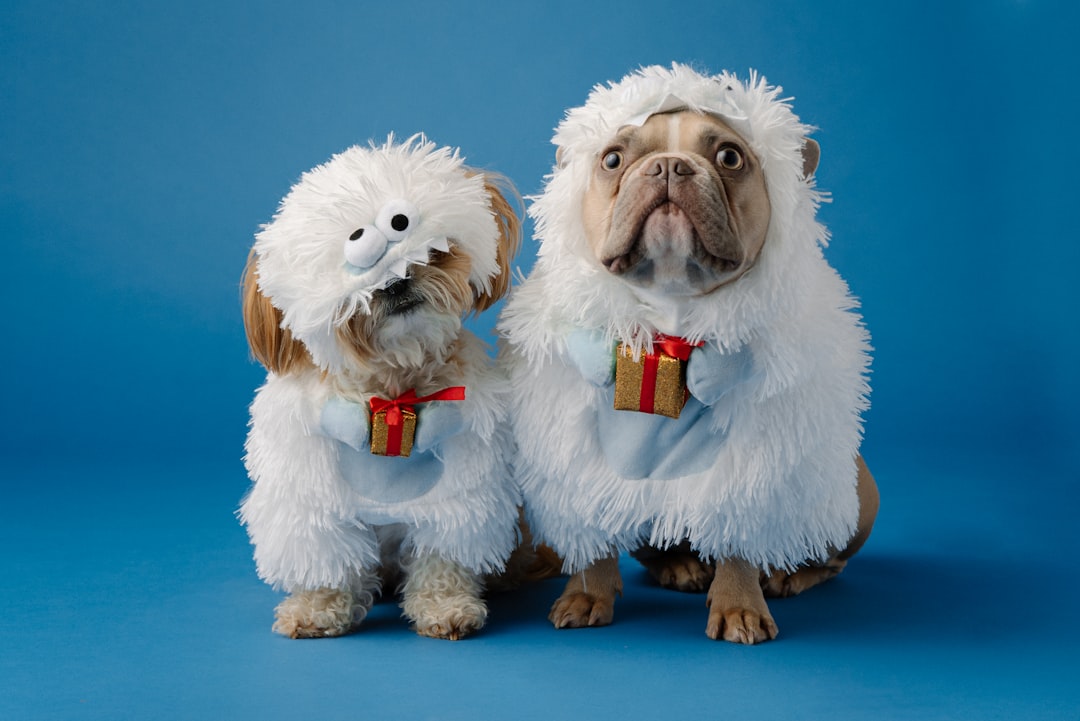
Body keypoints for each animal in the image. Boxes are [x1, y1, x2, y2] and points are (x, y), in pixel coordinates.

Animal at [239, 133, 522, 634]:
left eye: (418, 243)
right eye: (358, 250)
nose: (395, 281)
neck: (394, 391)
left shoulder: (458, 493)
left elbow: (443, 555)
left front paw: (445, 605)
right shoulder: (316, 500)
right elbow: (324, 558)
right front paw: (317, 608)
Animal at [501, 66, 881, 643]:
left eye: (729, 157)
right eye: (612, 160)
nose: (668, 165)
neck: (669, 328)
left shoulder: (750, 463)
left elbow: (739, 538)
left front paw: (740, 606)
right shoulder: (577, 455)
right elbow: (590, 531)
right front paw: (586, 594)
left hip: (854, 495)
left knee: (824, 550)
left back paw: (787, 573)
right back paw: (680, 565)